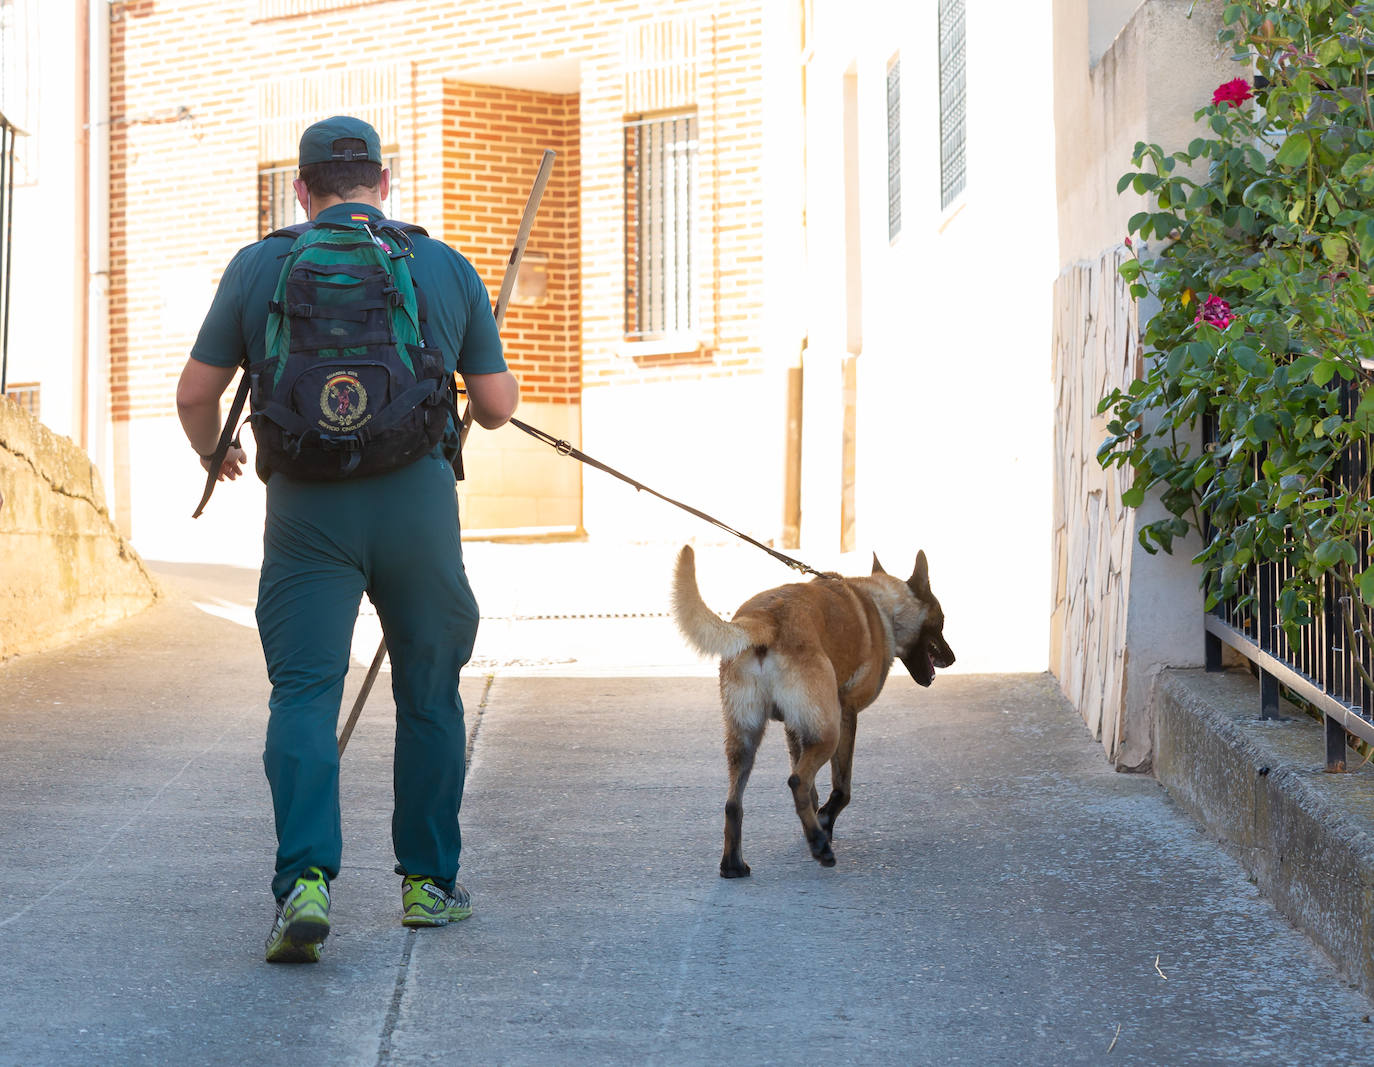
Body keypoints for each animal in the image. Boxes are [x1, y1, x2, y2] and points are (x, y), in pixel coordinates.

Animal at [673, 546, 956, 878]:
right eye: (941, 621)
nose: (952, 658)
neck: (883, 606)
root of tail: (765, 618)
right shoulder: (846, 716)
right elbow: (842, 788)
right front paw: (824, 824)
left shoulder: (794, 728)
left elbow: (813, 792)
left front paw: (818, 824)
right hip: (827, 734)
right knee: (797, 780)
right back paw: (820, 849)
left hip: (744, 738)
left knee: (735, 803)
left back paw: (735, 864)